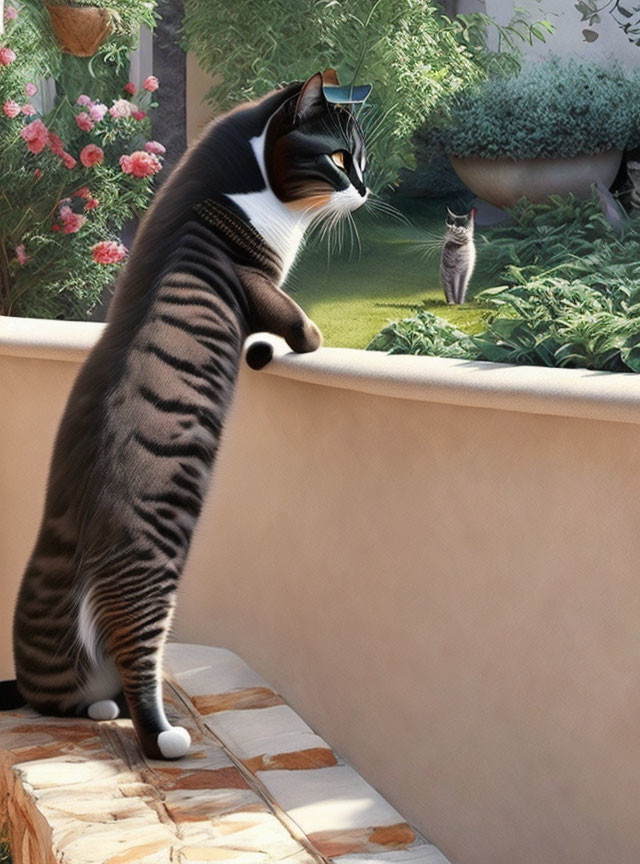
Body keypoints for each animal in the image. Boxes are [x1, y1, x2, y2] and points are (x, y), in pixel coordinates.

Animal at [5, 76, 368, 764]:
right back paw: (161, 735)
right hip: (152, 563)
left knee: (54, 687)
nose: (365, 187)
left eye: (360, 157)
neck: (244, 174)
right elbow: (292, 316)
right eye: (339, 157)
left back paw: (97, 704)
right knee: (134, 652)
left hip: (43, 597)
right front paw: (307, 339)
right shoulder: (253, 276)